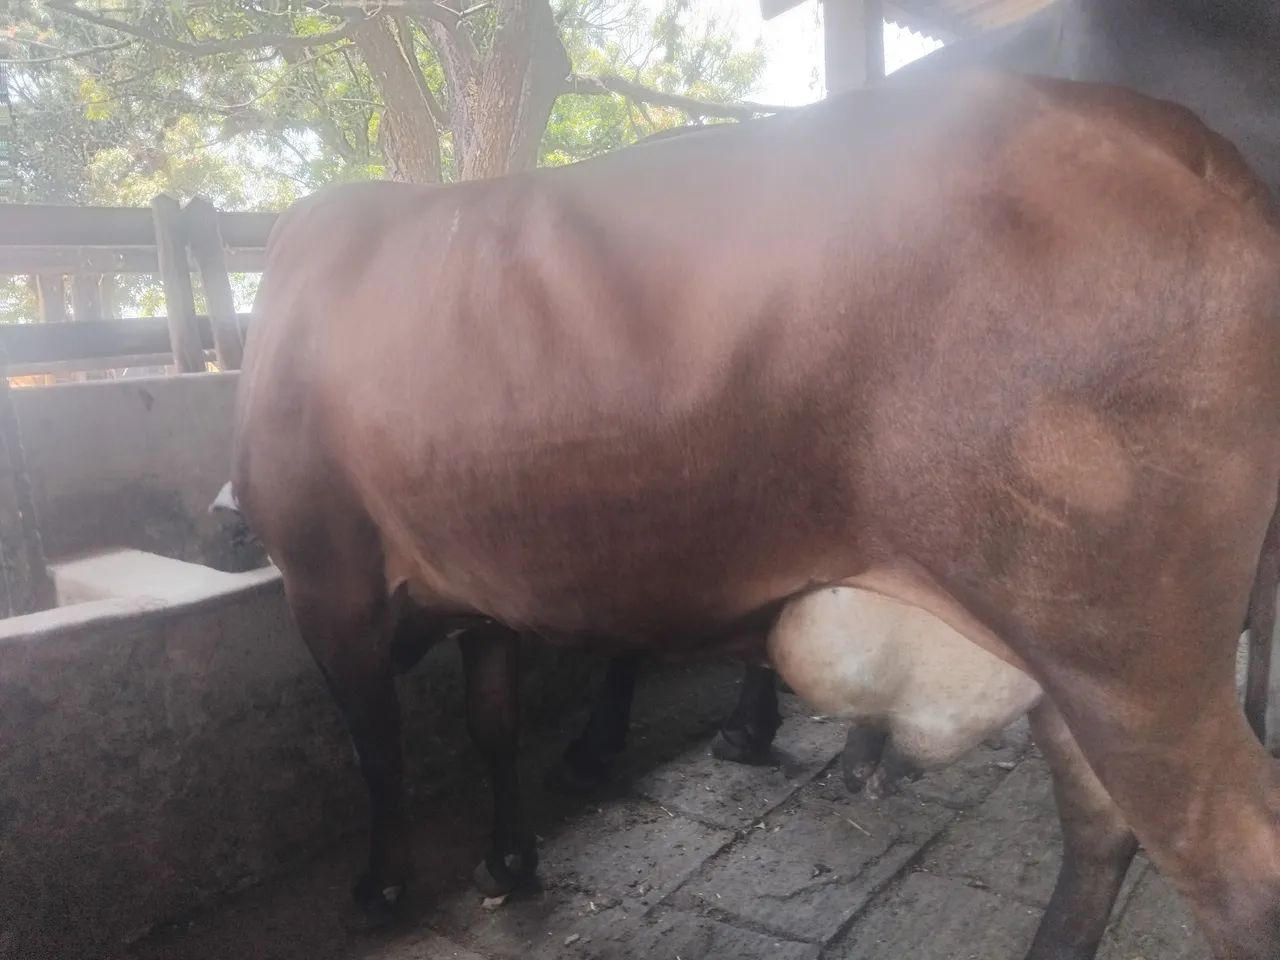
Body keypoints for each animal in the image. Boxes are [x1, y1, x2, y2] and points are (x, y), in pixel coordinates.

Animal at [231, 73, 1280, 959]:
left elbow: (376, 749)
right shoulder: (483, 596)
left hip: (1125, 663)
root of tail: (1173, 133)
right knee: (1101, 830)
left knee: (1235, 877)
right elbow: (492, 725)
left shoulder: (327, 582)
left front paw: (381, 886)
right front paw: (508, 861)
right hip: (1070, 658)